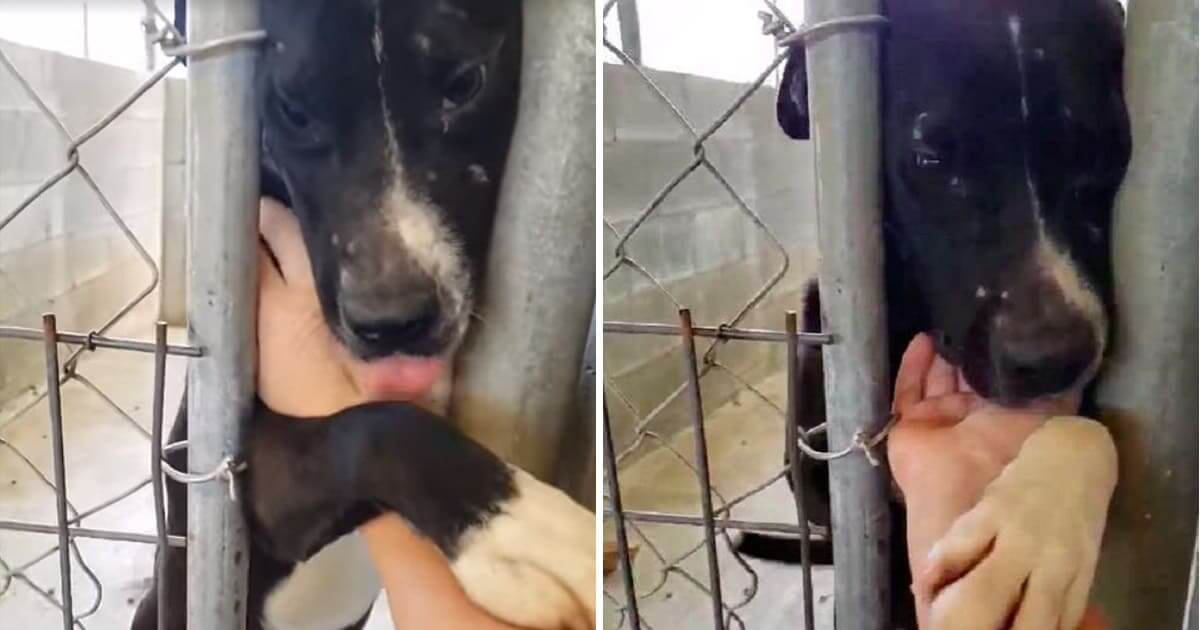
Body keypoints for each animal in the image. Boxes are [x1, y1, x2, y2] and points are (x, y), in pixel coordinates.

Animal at [132, 1, 595, 628]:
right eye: (293, 112)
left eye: (465, 84)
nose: (390, 323)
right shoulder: (240, 484)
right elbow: (373, 427)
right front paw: (515, 527)